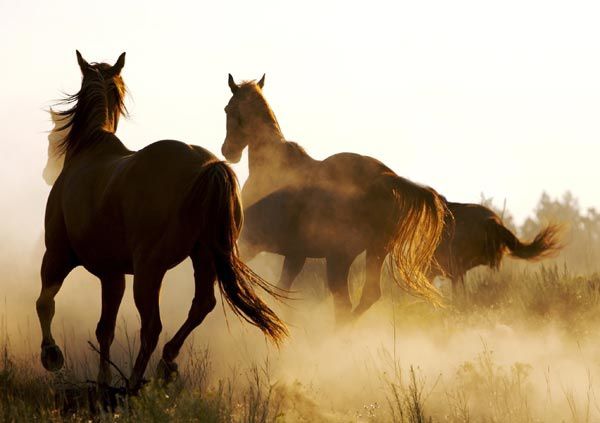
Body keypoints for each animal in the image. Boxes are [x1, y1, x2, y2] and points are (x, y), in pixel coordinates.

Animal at [37, 51, 286, 392]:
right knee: (200, 306)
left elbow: (45, 303)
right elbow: (105, 328)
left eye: (53, 138)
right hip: (203, 257)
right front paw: (103, 381)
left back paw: (134, 382)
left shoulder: (58, 255)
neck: (89, 150)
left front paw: (52, 355)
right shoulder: (112, 274)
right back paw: (166, 363)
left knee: (152, 326)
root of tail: (208, 167)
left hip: (149, 270)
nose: (47, 173)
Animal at [219, 74, 446, 322]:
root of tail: (386, 178)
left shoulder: (251, 242)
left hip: (339, 258)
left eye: (228, 109)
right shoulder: (295, 254)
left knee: (345, 304)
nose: (228, 151)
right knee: (366, 297)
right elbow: (283, 291)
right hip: (373, 252)